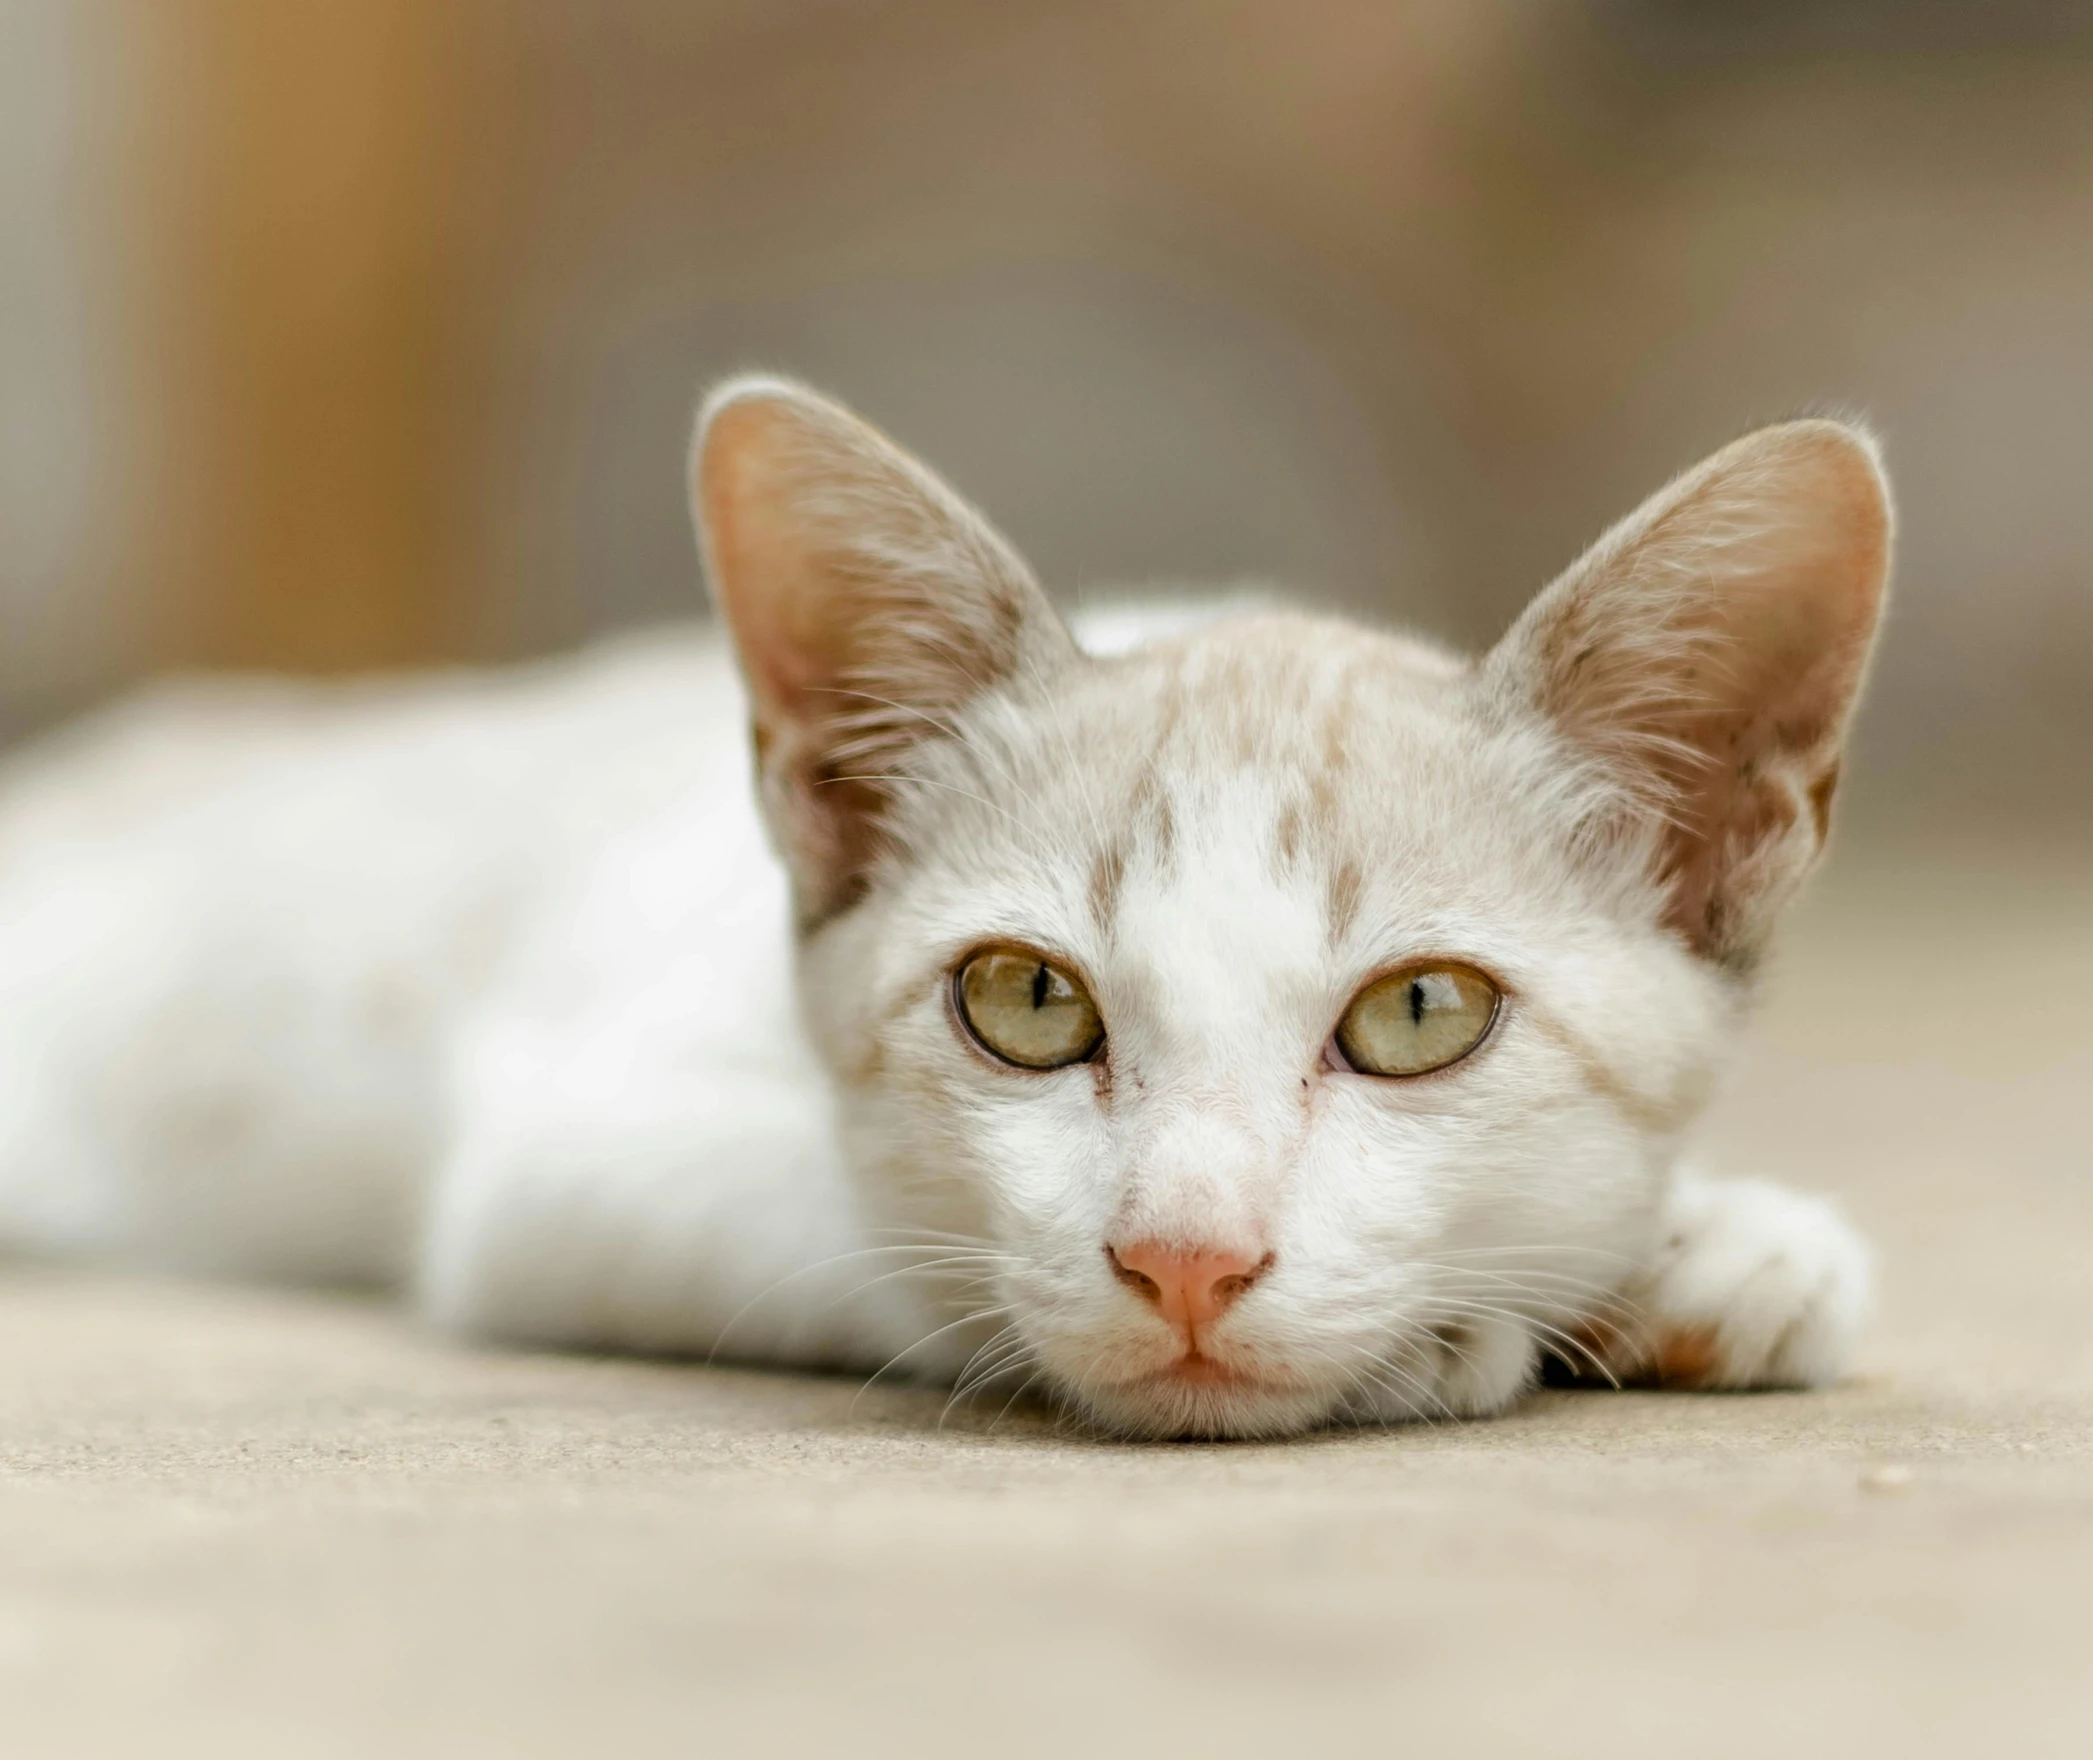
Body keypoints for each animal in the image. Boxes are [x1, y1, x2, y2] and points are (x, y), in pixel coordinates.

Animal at [0, 376, 1900, 1431]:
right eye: (1026, 1001)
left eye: (1418, 1014)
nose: (1189, 1261)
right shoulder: (563, 1155)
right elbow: (868, 1236)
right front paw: (1491, 1316)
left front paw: (1708, 1246)